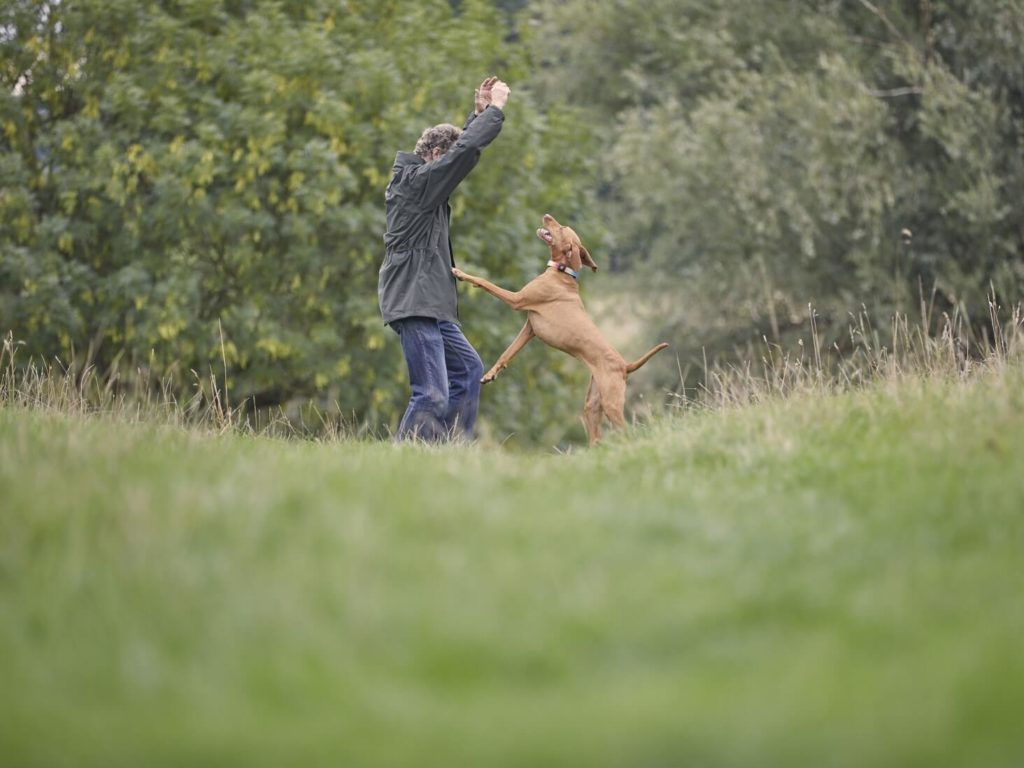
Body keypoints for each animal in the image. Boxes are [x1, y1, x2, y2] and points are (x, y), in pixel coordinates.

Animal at [452, 215, 667, 444]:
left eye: (562, 227)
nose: (547, 215)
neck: (562, 272)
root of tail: (625, 366)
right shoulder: (530, 330)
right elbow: (507, 354)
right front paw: (490, 374)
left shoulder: (517, 300)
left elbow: (485, 282)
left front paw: (460, 273)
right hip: (593, 403)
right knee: (596, 436)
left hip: (611, 402)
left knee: (625, 430)